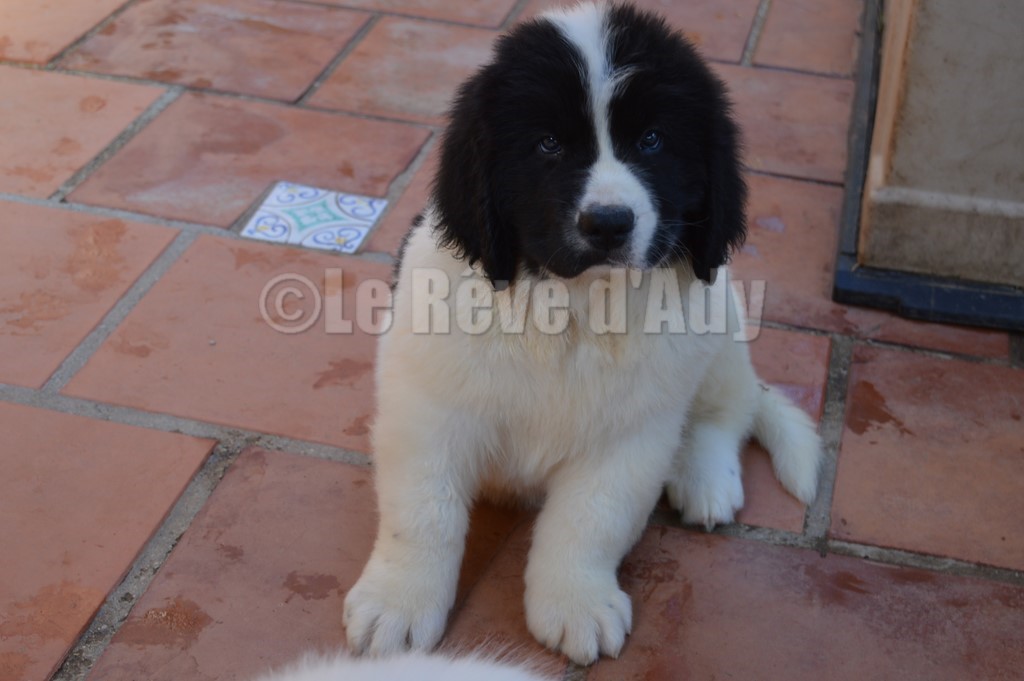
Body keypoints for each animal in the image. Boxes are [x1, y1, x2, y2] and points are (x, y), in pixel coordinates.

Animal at [343, 1, 822, 666]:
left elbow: (590, 519)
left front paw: (576, 604)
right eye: (548, 144)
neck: (572, 310)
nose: (609, 223)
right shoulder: (428, 408)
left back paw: (704, 478)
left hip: (718, 320)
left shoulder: (630, 435)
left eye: (652, 140)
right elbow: (422, 512)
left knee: (727, 408)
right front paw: (398, 604)